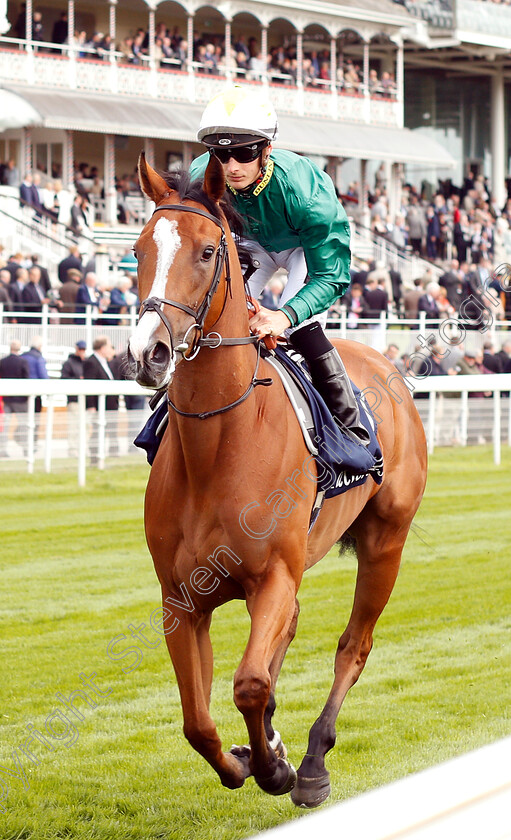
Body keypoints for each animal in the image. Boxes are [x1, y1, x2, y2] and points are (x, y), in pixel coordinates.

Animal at [128, 153, 428, 808]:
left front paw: (276, 769)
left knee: (353, 646)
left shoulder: (272, 577)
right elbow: (198, 718)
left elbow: (248, 684)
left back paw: (313, 760)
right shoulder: (181, 598)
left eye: (207, 252)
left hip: (386, 541)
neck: (218, 449)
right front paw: (247, 757)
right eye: (138, 249)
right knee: (286, 637)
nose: (149, 353)